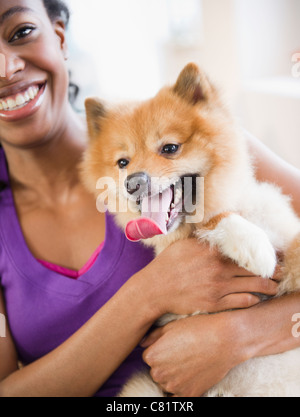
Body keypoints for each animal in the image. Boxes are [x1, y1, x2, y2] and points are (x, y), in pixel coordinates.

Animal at [81, 63, 300, 394]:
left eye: (170, 148)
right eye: (122, 162)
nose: (133, 182)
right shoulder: (186, 312)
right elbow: (211, 219)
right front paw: (251, 243)